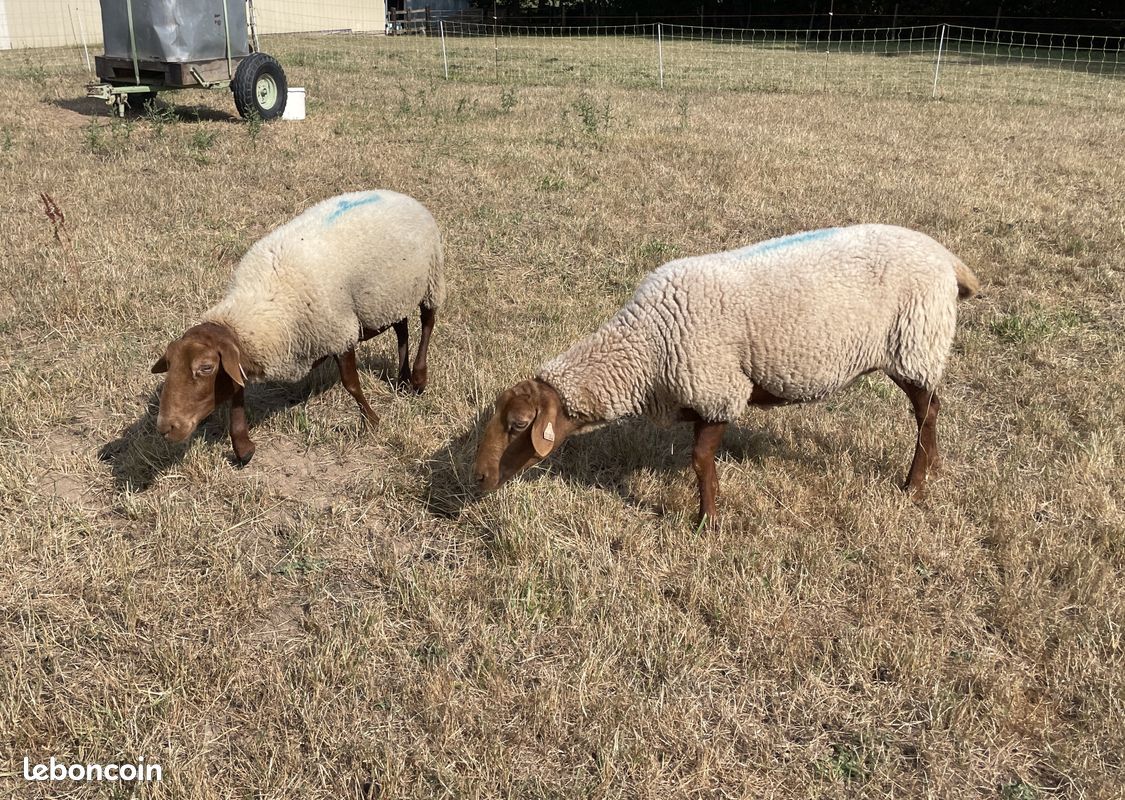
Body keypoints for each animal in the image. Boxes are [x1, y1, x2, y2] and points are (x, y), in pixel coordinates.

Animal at [151, 189, 444, 464]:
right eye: (170, 364)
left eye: (206, 368)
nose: (165, 428)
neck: (260, 307)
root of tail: (400, 195)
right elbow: (236, 396)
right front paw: (244, 449)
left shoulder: (339, 332)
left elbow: (351, 384)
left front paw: (372, 421)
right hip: (390, 297)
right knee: (402, 328)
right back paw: (402, 379)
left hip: (430, 279)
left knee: (427, 324)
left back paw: (419, 379)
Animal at [472, 224, 979, 523]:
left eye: (519, 425)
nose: (475, 479)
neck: (646, 347)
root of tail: (947, 258)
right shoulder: (699, 396)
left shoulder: (719, 389)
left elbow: (700, 462)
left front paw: (707, 523)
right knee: (932, 409)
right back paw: (931, 468)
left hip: (916, 343)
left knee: (927, 413)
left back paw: (915, 484)